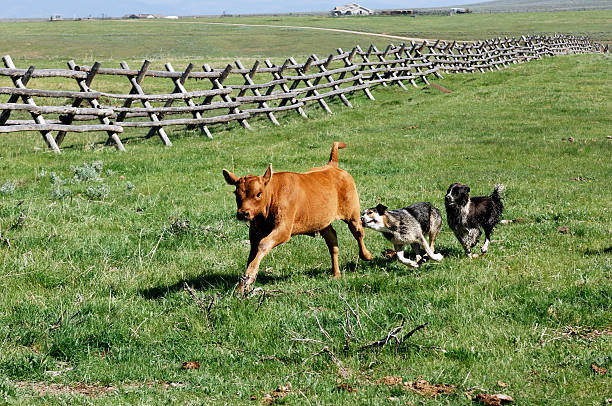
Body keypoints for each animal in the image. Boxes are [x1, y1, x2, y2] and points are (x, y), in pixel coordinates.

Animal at [222, 142, 370, 292]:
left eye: (259, 194)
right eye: (236, 193)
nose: (243, 213)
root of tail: (332, 166)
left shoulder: (284, 228)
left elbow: (263, 244)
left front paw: (249, 277)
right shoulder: (254, 232)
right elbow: (253, 252)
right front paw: (243, 283)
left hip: (352, 213)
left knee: (358, 232)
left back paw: (366, 255)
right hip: (322, 221)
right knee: (332, 240)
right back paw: (336, 273)